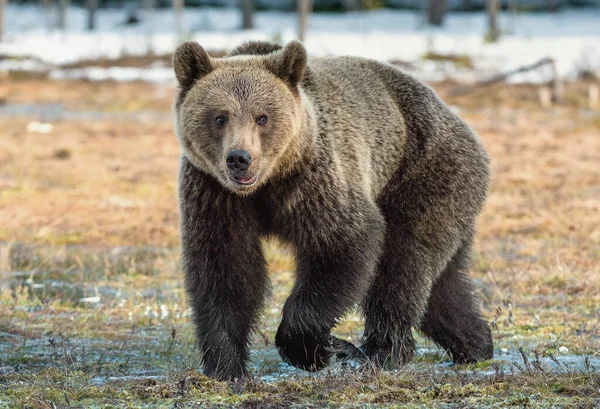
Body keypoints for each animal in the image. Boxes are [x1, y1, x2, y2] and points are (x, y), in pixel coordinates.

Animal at [172, 39, 492, 380]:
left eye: (262, 117)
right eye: (220, 117)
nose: (239, 158)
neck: (269, 183)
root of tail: (459, 122)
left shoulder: (315, 179)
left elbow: (341, 246)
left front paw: (321, 349)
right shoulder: (214, 193)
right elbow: (225, 269)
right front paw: (226, 366)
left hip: (423, 174)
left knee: (402, 263)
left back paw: (378, 352)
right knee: (443, 285)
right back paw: (476, 343)